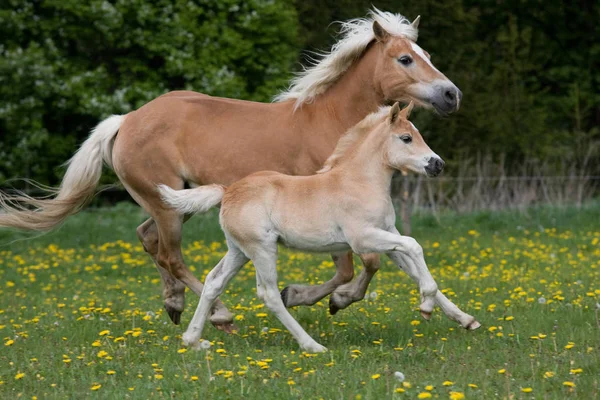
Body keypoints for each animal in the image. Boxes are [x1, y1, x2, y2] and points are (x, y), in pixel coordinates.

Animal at [0, 8, 462, 332]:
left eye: (427, 55)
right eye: (404, 59)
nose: (451, 95)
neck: (332, 124)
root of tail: (126, 119)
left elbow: (394, 262)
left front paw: (459, 316)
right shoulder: (334, 219)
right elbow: (359, 267)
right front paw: (311, 297)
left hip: (175, 202)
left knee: (147, 240)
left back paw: (174, 305)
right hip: (168, 207)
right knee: (171, 255)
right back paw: (219, 314)